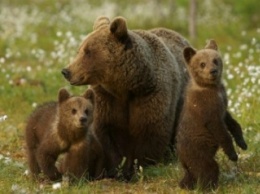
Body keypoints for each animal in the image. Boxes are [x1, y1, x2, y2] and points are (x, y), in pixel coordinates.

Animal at [62, 15, 190, 180]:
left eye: (88, 52)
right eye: (80, 50)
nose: (66, 71)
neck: (125, 86)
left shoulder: (149, 95)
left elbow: (149, 131)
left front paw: (137, 168)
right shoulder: (107, 99)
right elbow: (108, 133)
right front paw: (114, 169)